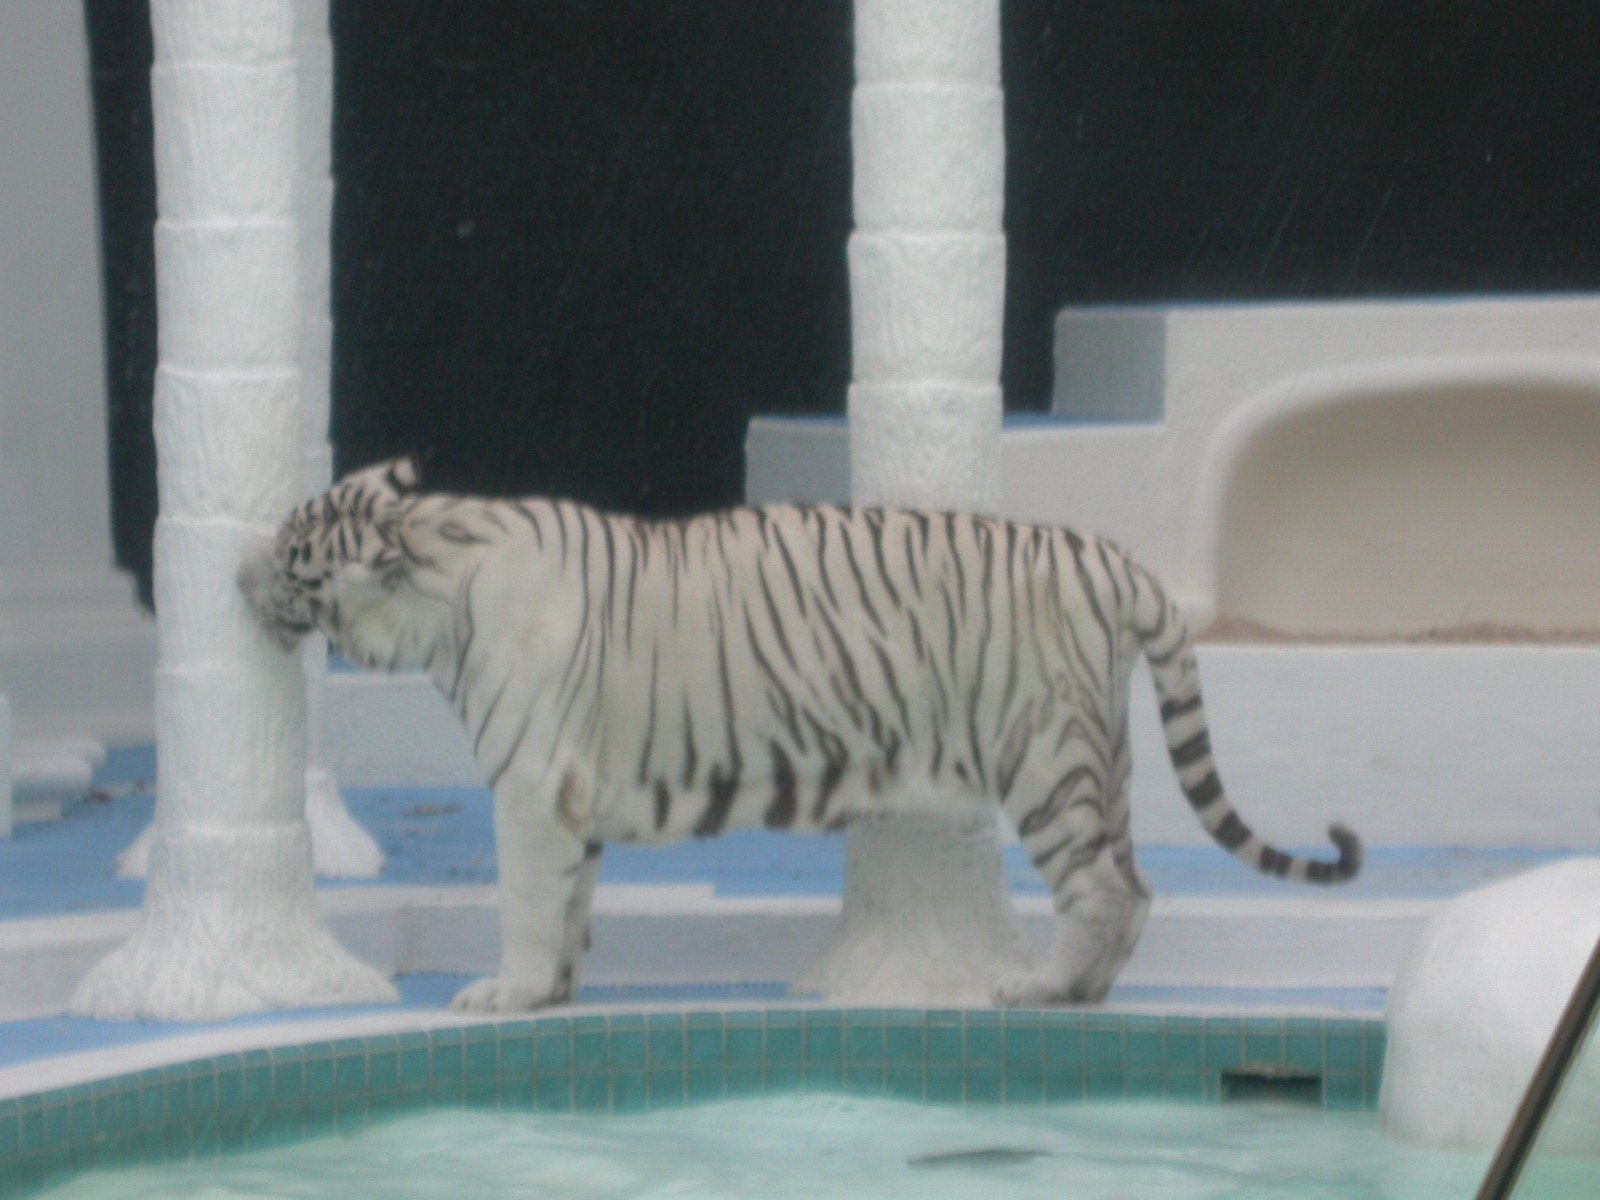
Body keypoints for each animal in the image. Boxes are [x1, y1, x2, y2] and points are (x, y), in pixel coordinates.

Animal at [239, 457, 1361, 1012]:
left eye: (290, 557)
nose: (231, 576)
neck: (432, 567)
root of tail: (1114, 560)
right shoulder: (572, 794)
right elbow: (570, 903)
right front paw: (553, 991)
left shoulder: (530, 784)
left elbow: (524, 899)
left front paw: (504, 993)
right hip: (1101, 753)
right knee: (1136, 884)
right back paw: (1089, 992)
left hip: (1046, 756)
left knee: (1102, 887)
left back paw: (1042, 987)